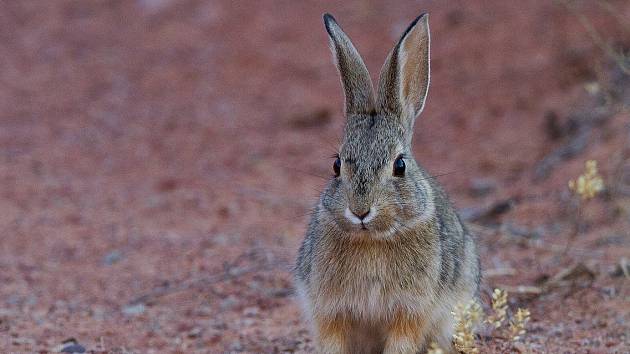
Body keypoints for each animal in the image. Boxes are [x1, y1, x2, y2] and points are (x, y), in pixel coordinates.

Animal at [296, 12, 484, 352]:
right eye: (336, 165)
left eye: (400, 165)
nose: (360, 211)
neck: (372, 240)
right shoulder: (330, 313)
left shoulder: (410, 312)